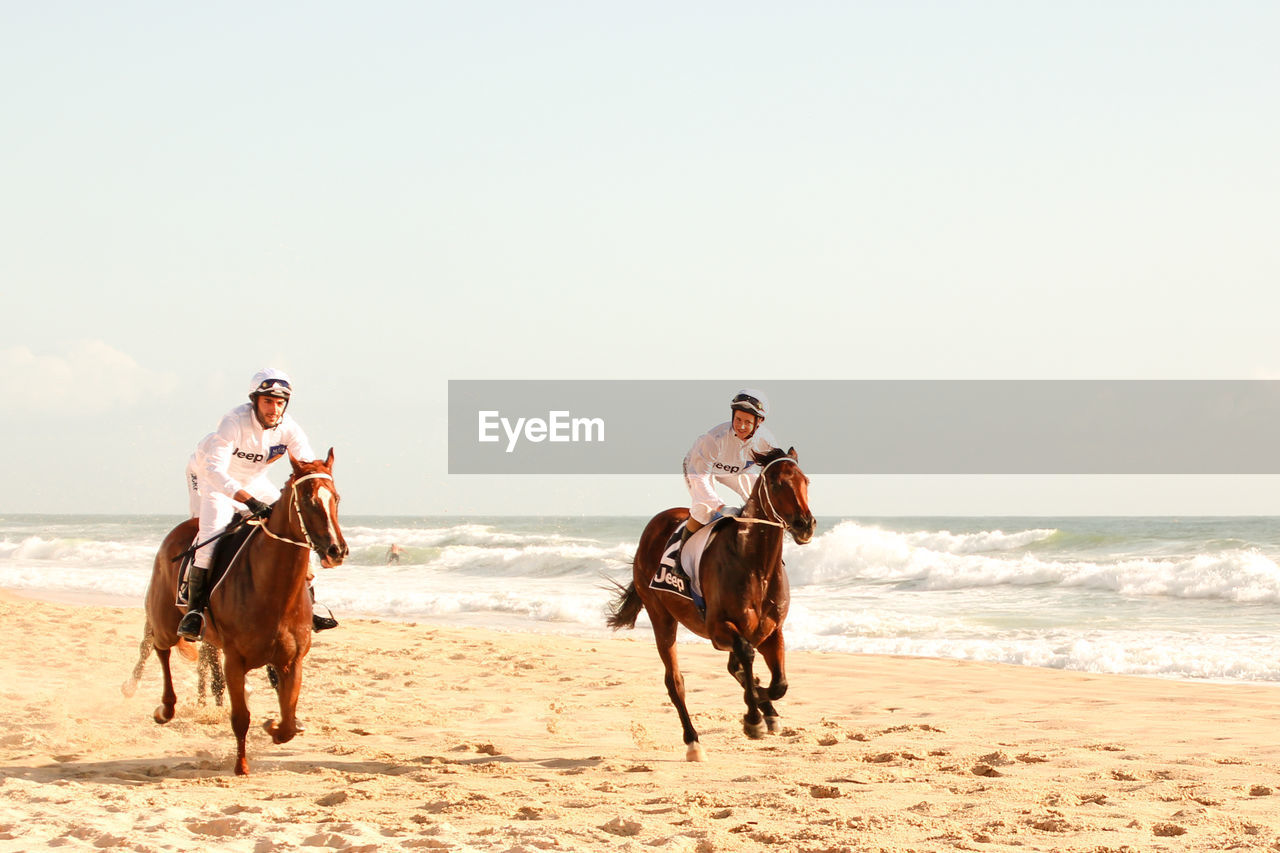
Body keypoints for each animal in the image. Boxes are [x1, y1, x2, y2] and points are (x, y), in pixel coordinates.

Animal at [144, 448, 348, 773]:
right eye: (308, 500)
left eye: (336, 497)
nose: (336, 550)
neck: (273, 592)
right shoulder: (234, 661)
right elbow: (240, 717)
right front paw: (241, 765)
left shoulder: (292, 661)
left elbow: (288, 722)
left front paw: (275, 726)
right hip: (165, 622)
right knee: (161, 649)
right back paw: (165, 708)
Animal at [606, 445, 808, 758]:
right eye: (776, 484)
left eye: (805, 481)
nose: (805, 524)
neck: (755, 565)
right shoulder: (717, 629)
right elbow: (746, 657)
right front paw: (753, 719)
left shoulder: (771, 631)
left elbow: (778, 683)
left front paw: (763, 704)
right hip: (660, 615)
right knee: (675, 681)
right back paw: (693, 741)